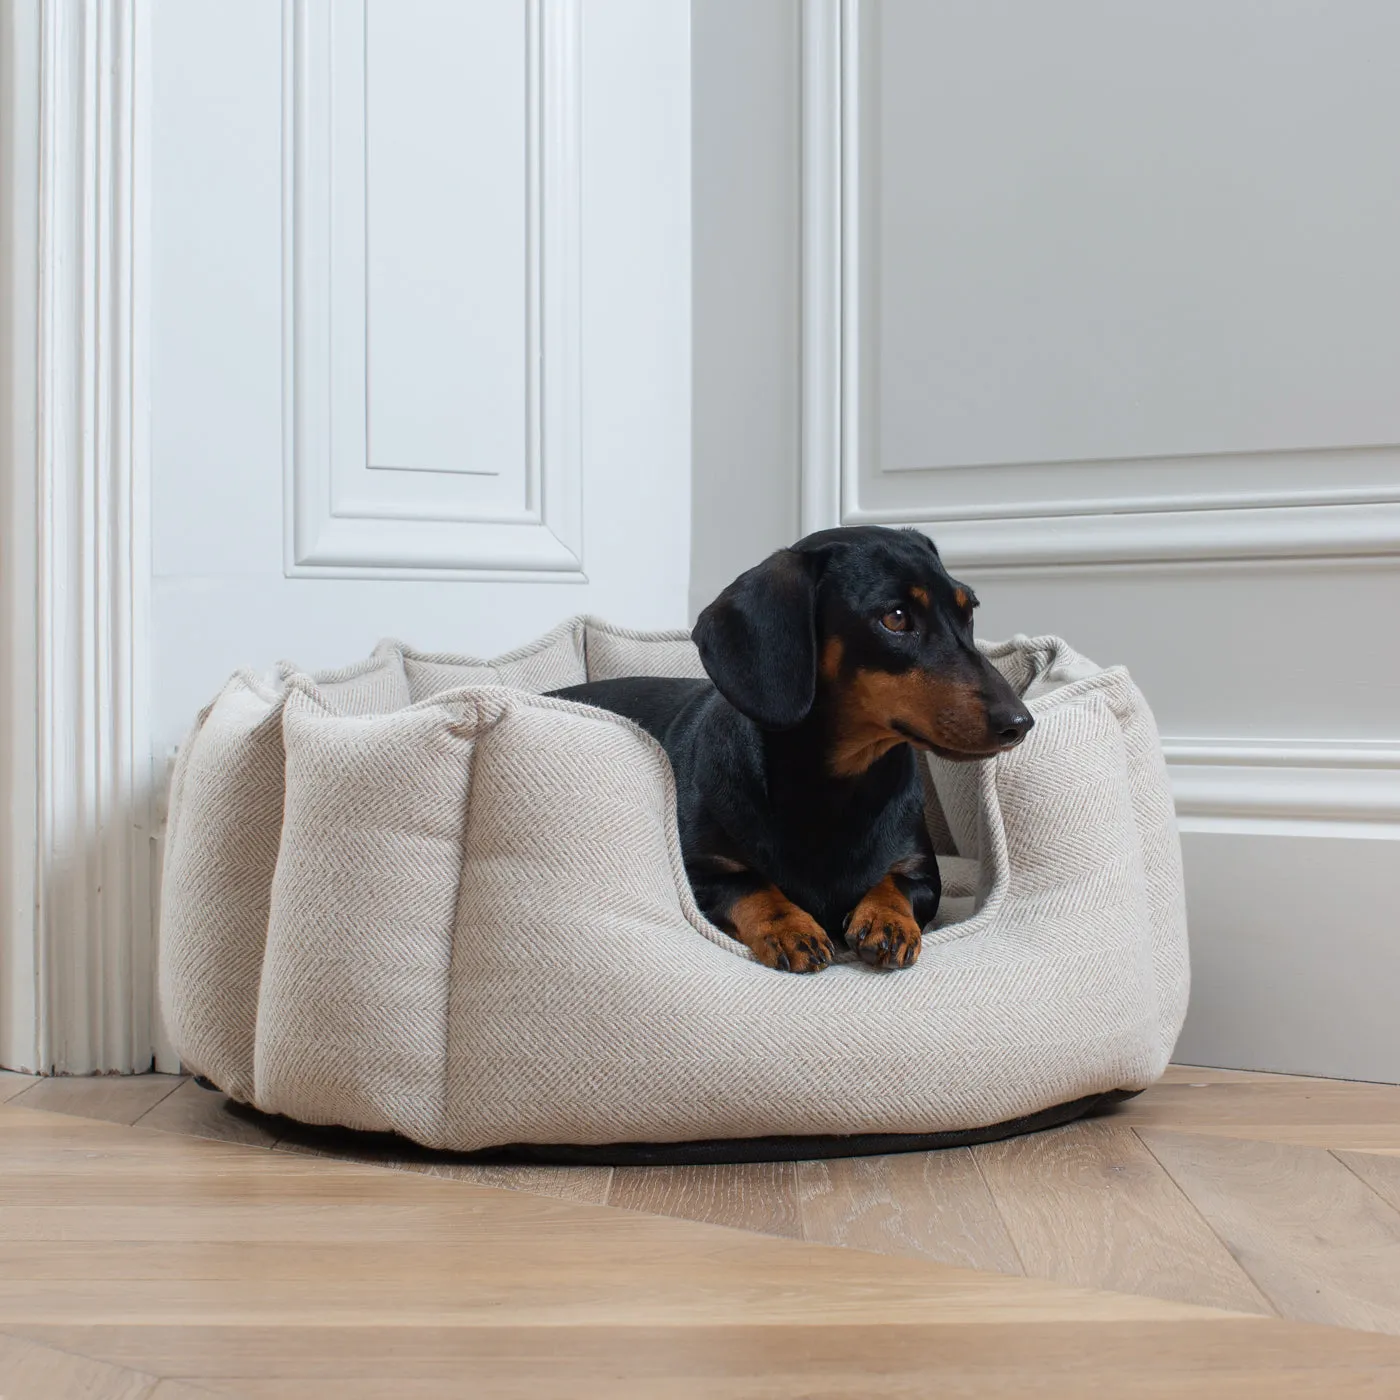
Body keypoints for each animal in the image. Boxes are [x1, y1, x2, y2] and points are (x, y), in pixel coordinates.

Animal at [551, 526, 1036, 974]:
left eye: (967, 612)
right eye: (896, 617)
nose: (1020, 723)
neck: (834, 786)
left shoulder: (922, 873)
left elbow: (894, 883)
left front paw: (889, 920)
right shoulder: (700, 873)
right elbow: (752, 885)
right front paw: (789, 928)